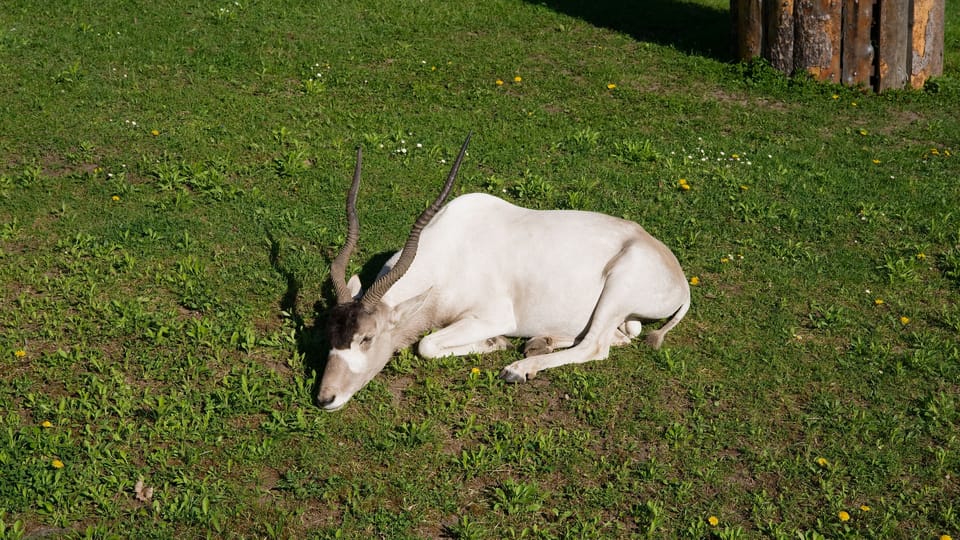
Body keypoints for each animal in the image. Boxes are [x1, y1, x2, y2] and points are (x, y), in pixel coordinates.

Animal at [317, 133, 690, 411]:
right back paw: (541, 342)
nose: (325, 398)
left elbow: (427, 345)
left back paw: (519, 369)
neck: (449, 252)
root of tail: (679, 278)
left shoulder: (492, 316)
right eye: (329, 333)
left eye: (367, 338)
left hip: (619, 286)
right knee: (620, 335)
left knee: (595, 346)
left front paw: (494, 343)